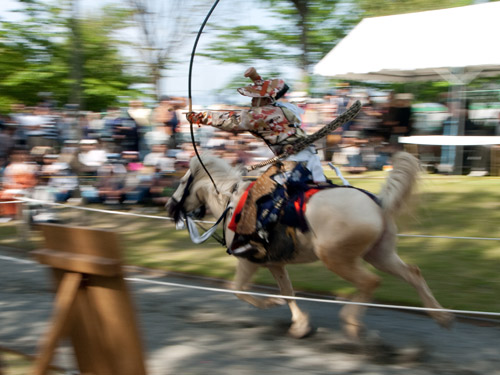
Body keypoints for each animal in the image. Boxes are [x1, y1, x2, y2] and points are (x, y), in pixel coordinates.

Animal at [167, 153, 454, 340]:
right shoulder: (275, 263)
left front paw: (269, 304)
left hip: (336, 257)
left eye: (181, 182)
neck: (232, 200)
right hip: (379, 254)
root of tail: (378, 204)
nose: (169, 207)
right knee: (412, 273)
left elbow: (237, 289)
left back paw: (352, 323)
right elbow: (288, 293)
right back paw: (441, 316)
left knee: (371, 282)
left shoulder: (248, 260)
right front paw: (300, 325)